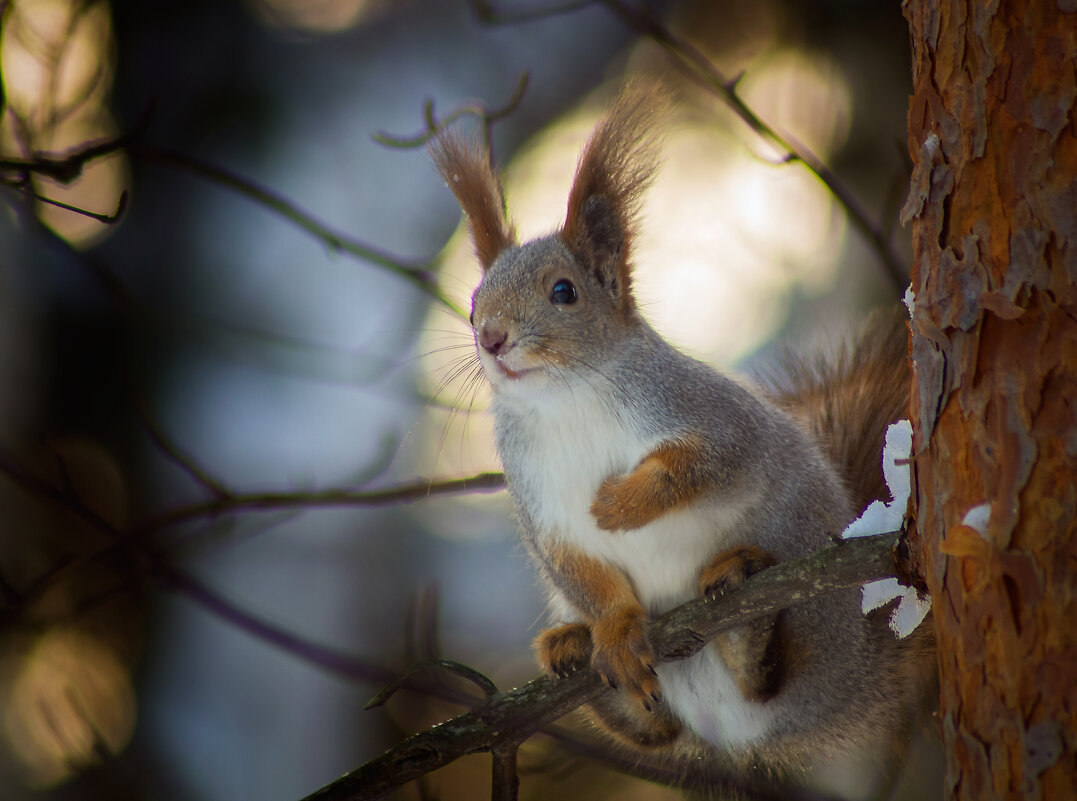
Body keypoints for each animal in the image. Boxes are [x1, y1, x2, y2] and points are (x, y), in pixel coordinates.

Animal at [430, 84, 934, 779]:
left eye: (564, 292)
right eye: (477, 297)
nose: (491, 336)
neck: (563, 401)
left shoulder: (708, 416)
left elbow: (706, 464)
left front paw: (619, 505)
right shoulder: (544, 511)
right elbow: (585, 574)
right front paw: (614, 632)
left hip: (811, 591)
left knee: (773, 677)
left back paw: (743, 613)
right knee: (656, 730)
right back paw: (571, 646)